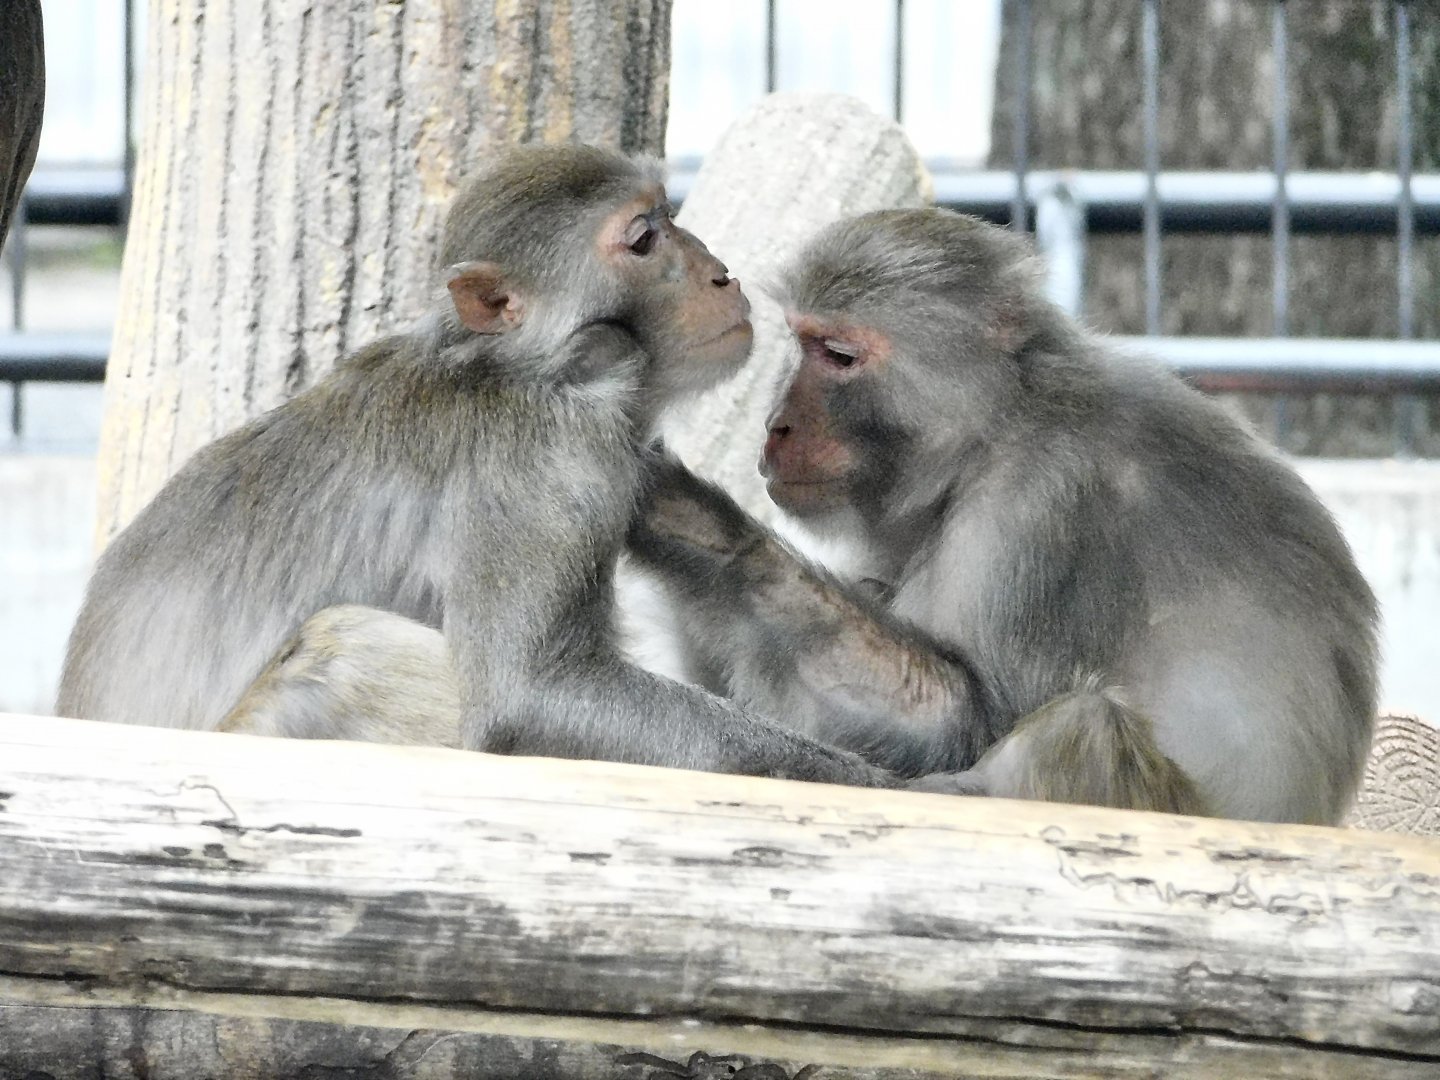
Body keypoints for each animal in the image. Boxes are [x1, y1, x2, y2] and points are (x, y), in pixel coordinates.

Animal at [56, 144, 902, 790]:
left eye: (672, 217)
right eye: (643, 240)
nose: (720, 273)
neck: (526, 367)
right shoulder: (554, 451)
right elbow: (529, 696)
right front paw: (865, 778)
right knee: (346, 649)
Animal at [624, 208, 1379, 825]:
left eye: (837, 355)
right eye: (801, 344)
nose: (777, 426)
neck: (996, 430)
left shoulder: (1044, 507)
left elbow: (977, 716)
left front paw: (692, 520)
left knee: (1083, 729)